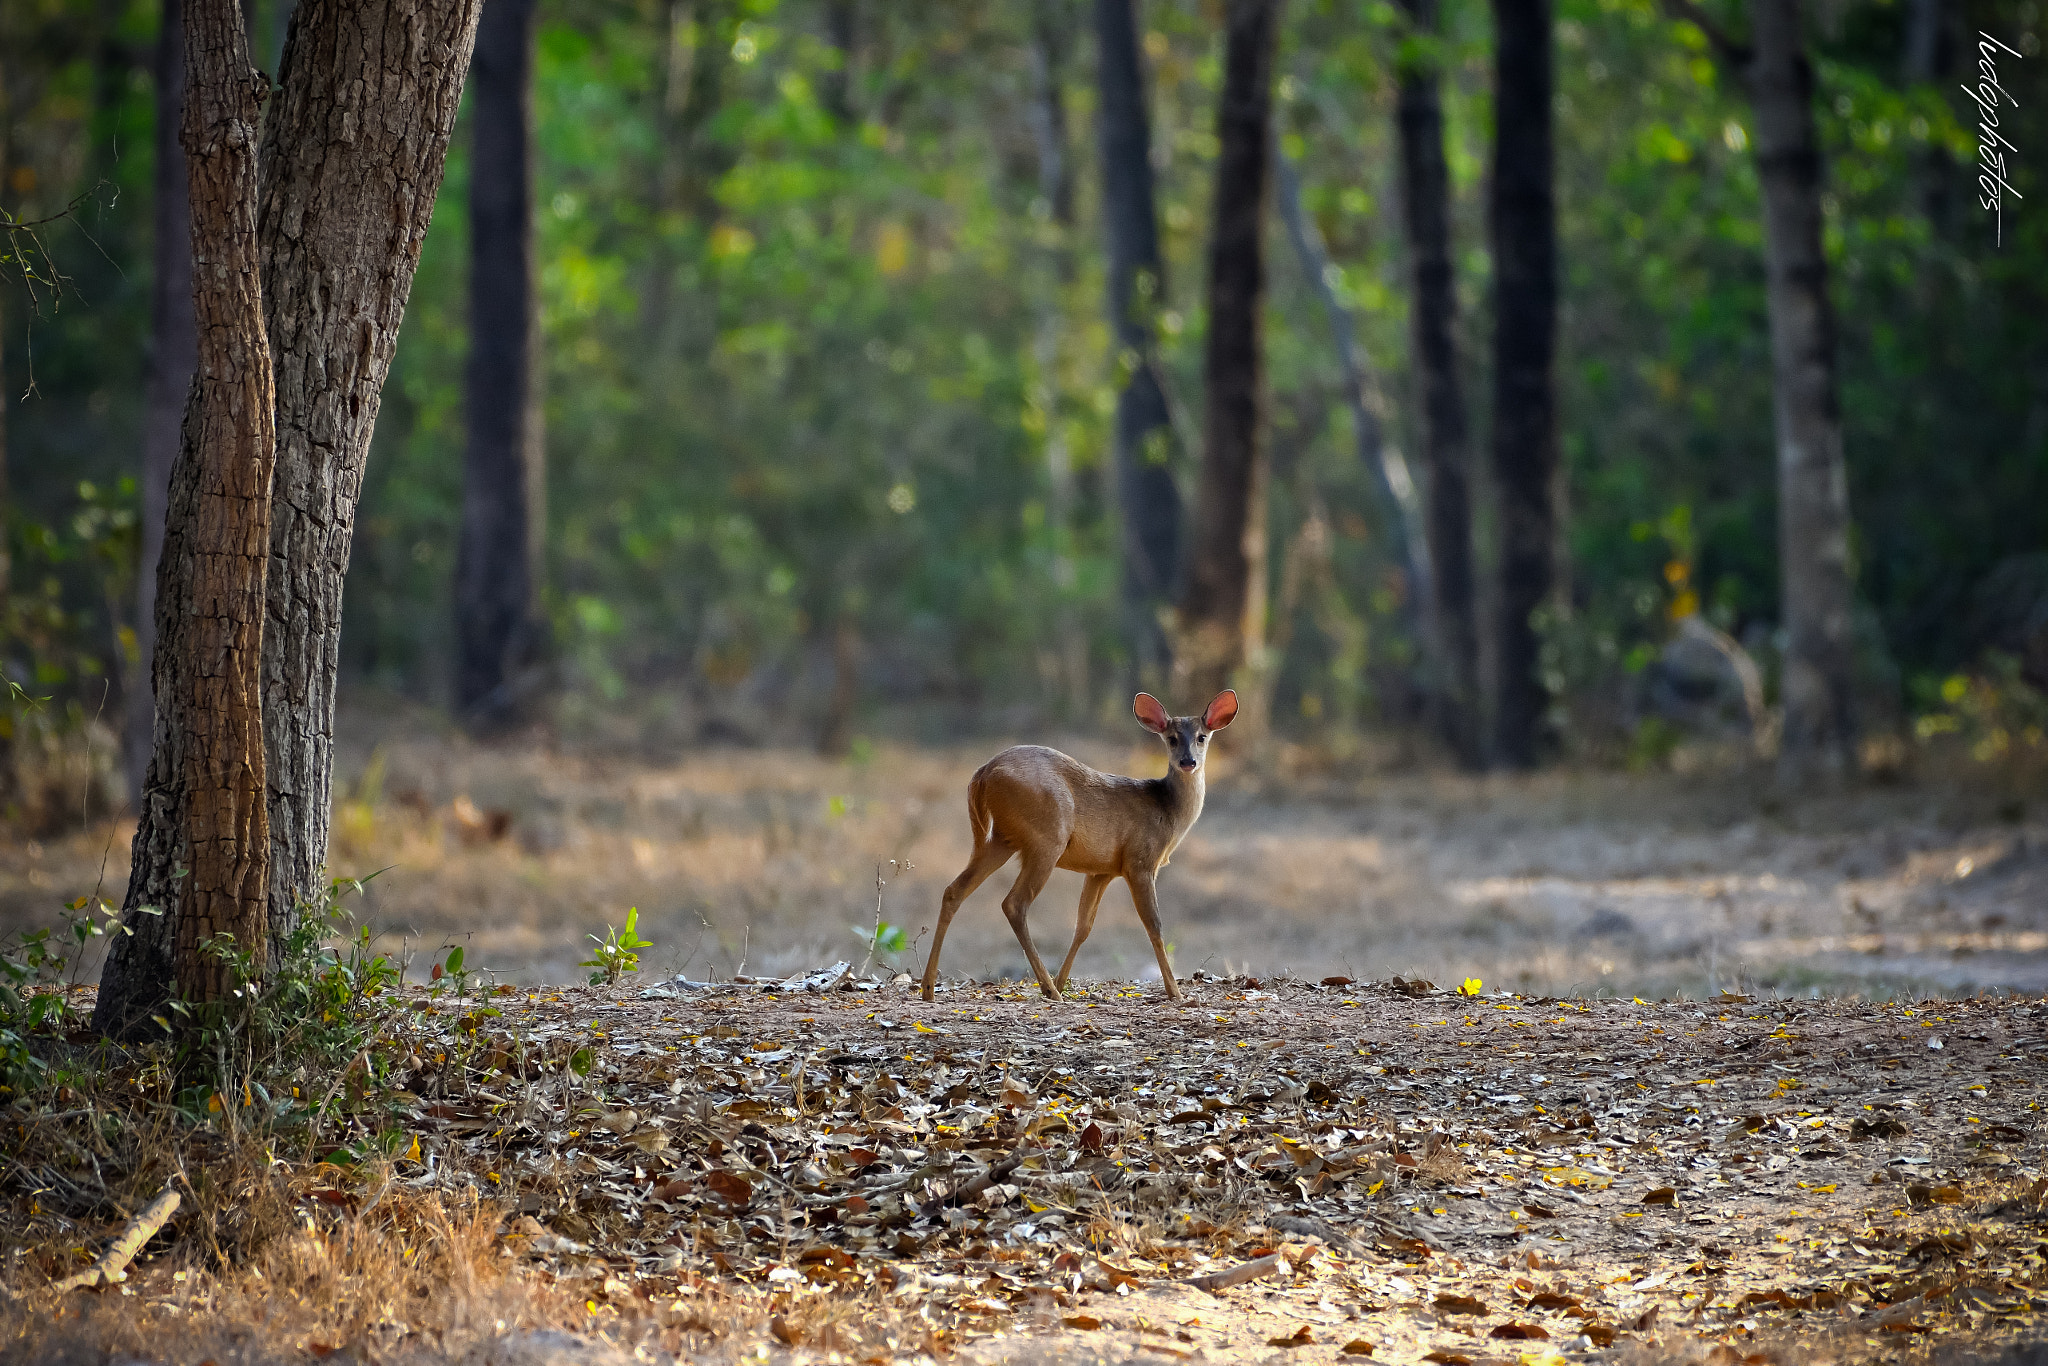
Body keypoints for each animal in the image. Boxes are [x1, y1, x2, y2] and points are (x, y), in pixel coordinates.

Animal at [921, 696, 1236, 1003]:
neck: (1166, 811)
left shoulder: (1101, 870)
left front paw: (1064, 981)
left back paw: (928, 988)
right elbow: (1154, 924)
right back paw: (1048, 989)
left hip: (1002, 838)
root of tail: (983, 773)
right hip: (1048, 836)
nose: (1188, 761)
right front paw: (1176, 993)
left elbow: (1083, 926)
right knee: (1014, 903)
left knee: (953, 890)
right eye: (1171, 738)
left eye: (1202, 736)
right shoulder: (1140, 861)